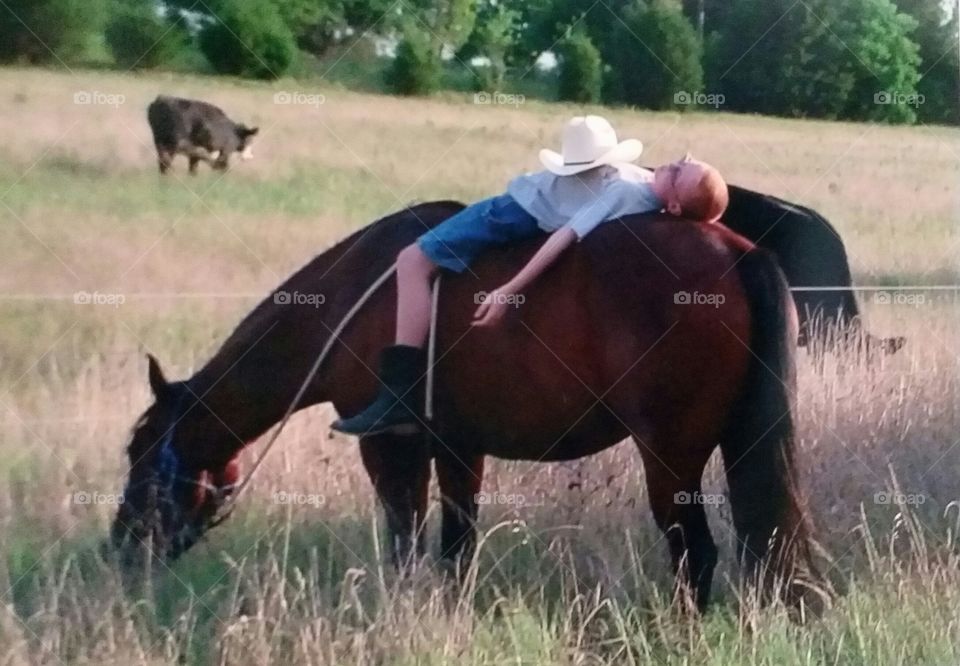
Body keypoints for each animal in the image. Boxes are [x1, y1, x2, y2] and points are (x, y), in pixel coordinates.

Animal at [110, 202, 816, 612]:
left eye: (140, 452)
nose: (118, 549)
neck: (347, 301)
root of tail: (738, 251)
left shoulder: (389, 449)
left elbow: (404, 543)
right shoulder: (458, 449)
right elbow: (456, 549)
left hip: (670, 460)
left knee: (696, 557)